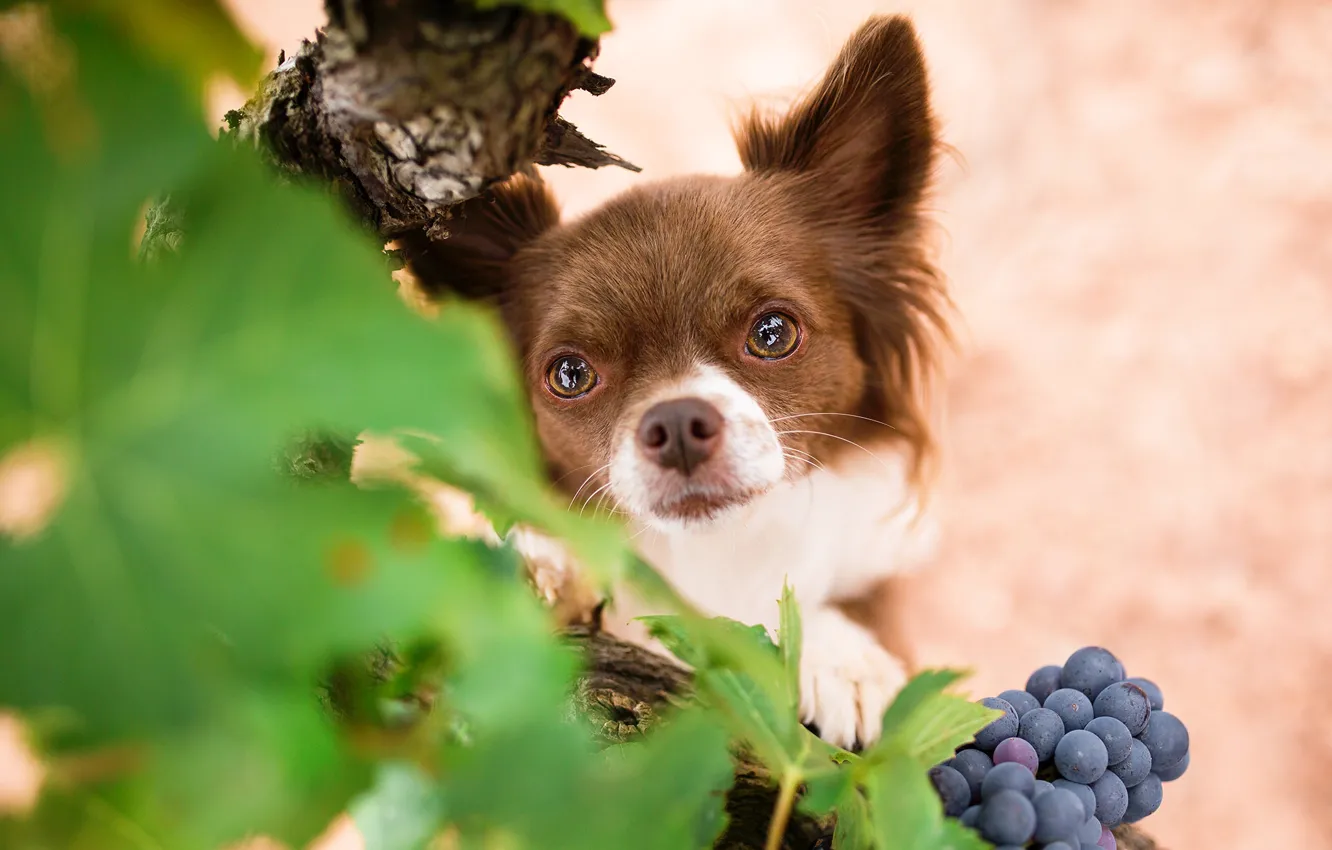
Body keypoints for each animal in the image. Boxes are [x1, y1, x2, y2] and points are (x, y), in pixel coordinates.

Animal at [386, 11, 948, 746]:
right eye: (570, 373)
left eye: (773, 333)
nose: (677, 422)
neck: (717, 553)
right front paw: (546, 566)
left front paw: (842, 660)